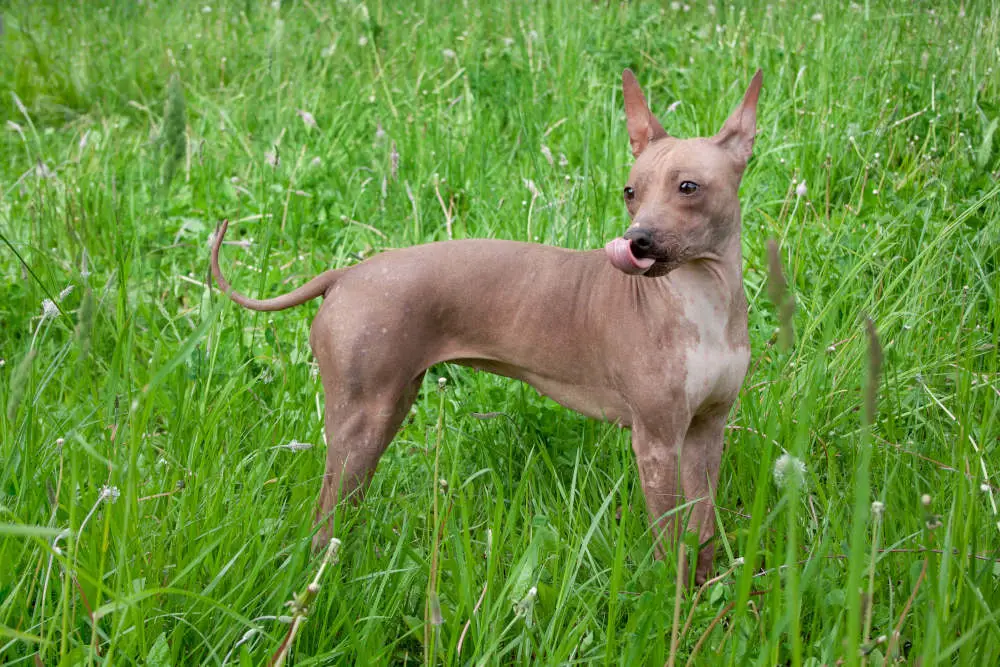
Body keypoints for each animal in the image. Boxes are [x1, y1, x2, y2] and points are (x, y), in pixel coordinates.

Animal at [211, 69, 756, 584]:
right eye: (630, 192)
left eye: (688, 187)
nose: (636, 240)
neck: (701, 300)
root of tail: (346, 274)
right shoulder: (656, 442)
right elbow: (670, 541)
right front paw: (672, 601)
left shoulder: (705, 433)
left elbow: (703, 529)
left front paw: (705, 591)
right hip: (361, 424)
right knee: (325, 518)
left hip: (386, 411)